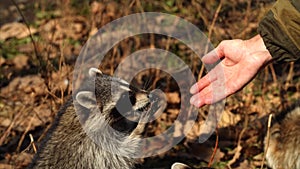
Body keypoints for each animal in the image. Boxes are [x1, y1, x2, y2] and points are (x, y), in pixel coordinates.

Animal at [27, 68, 159, 168]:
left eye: (129, 86)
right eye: (125, 97)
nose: (148, 95)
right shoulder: (91, 149)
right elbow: (120, 155)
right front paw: (140, 127)